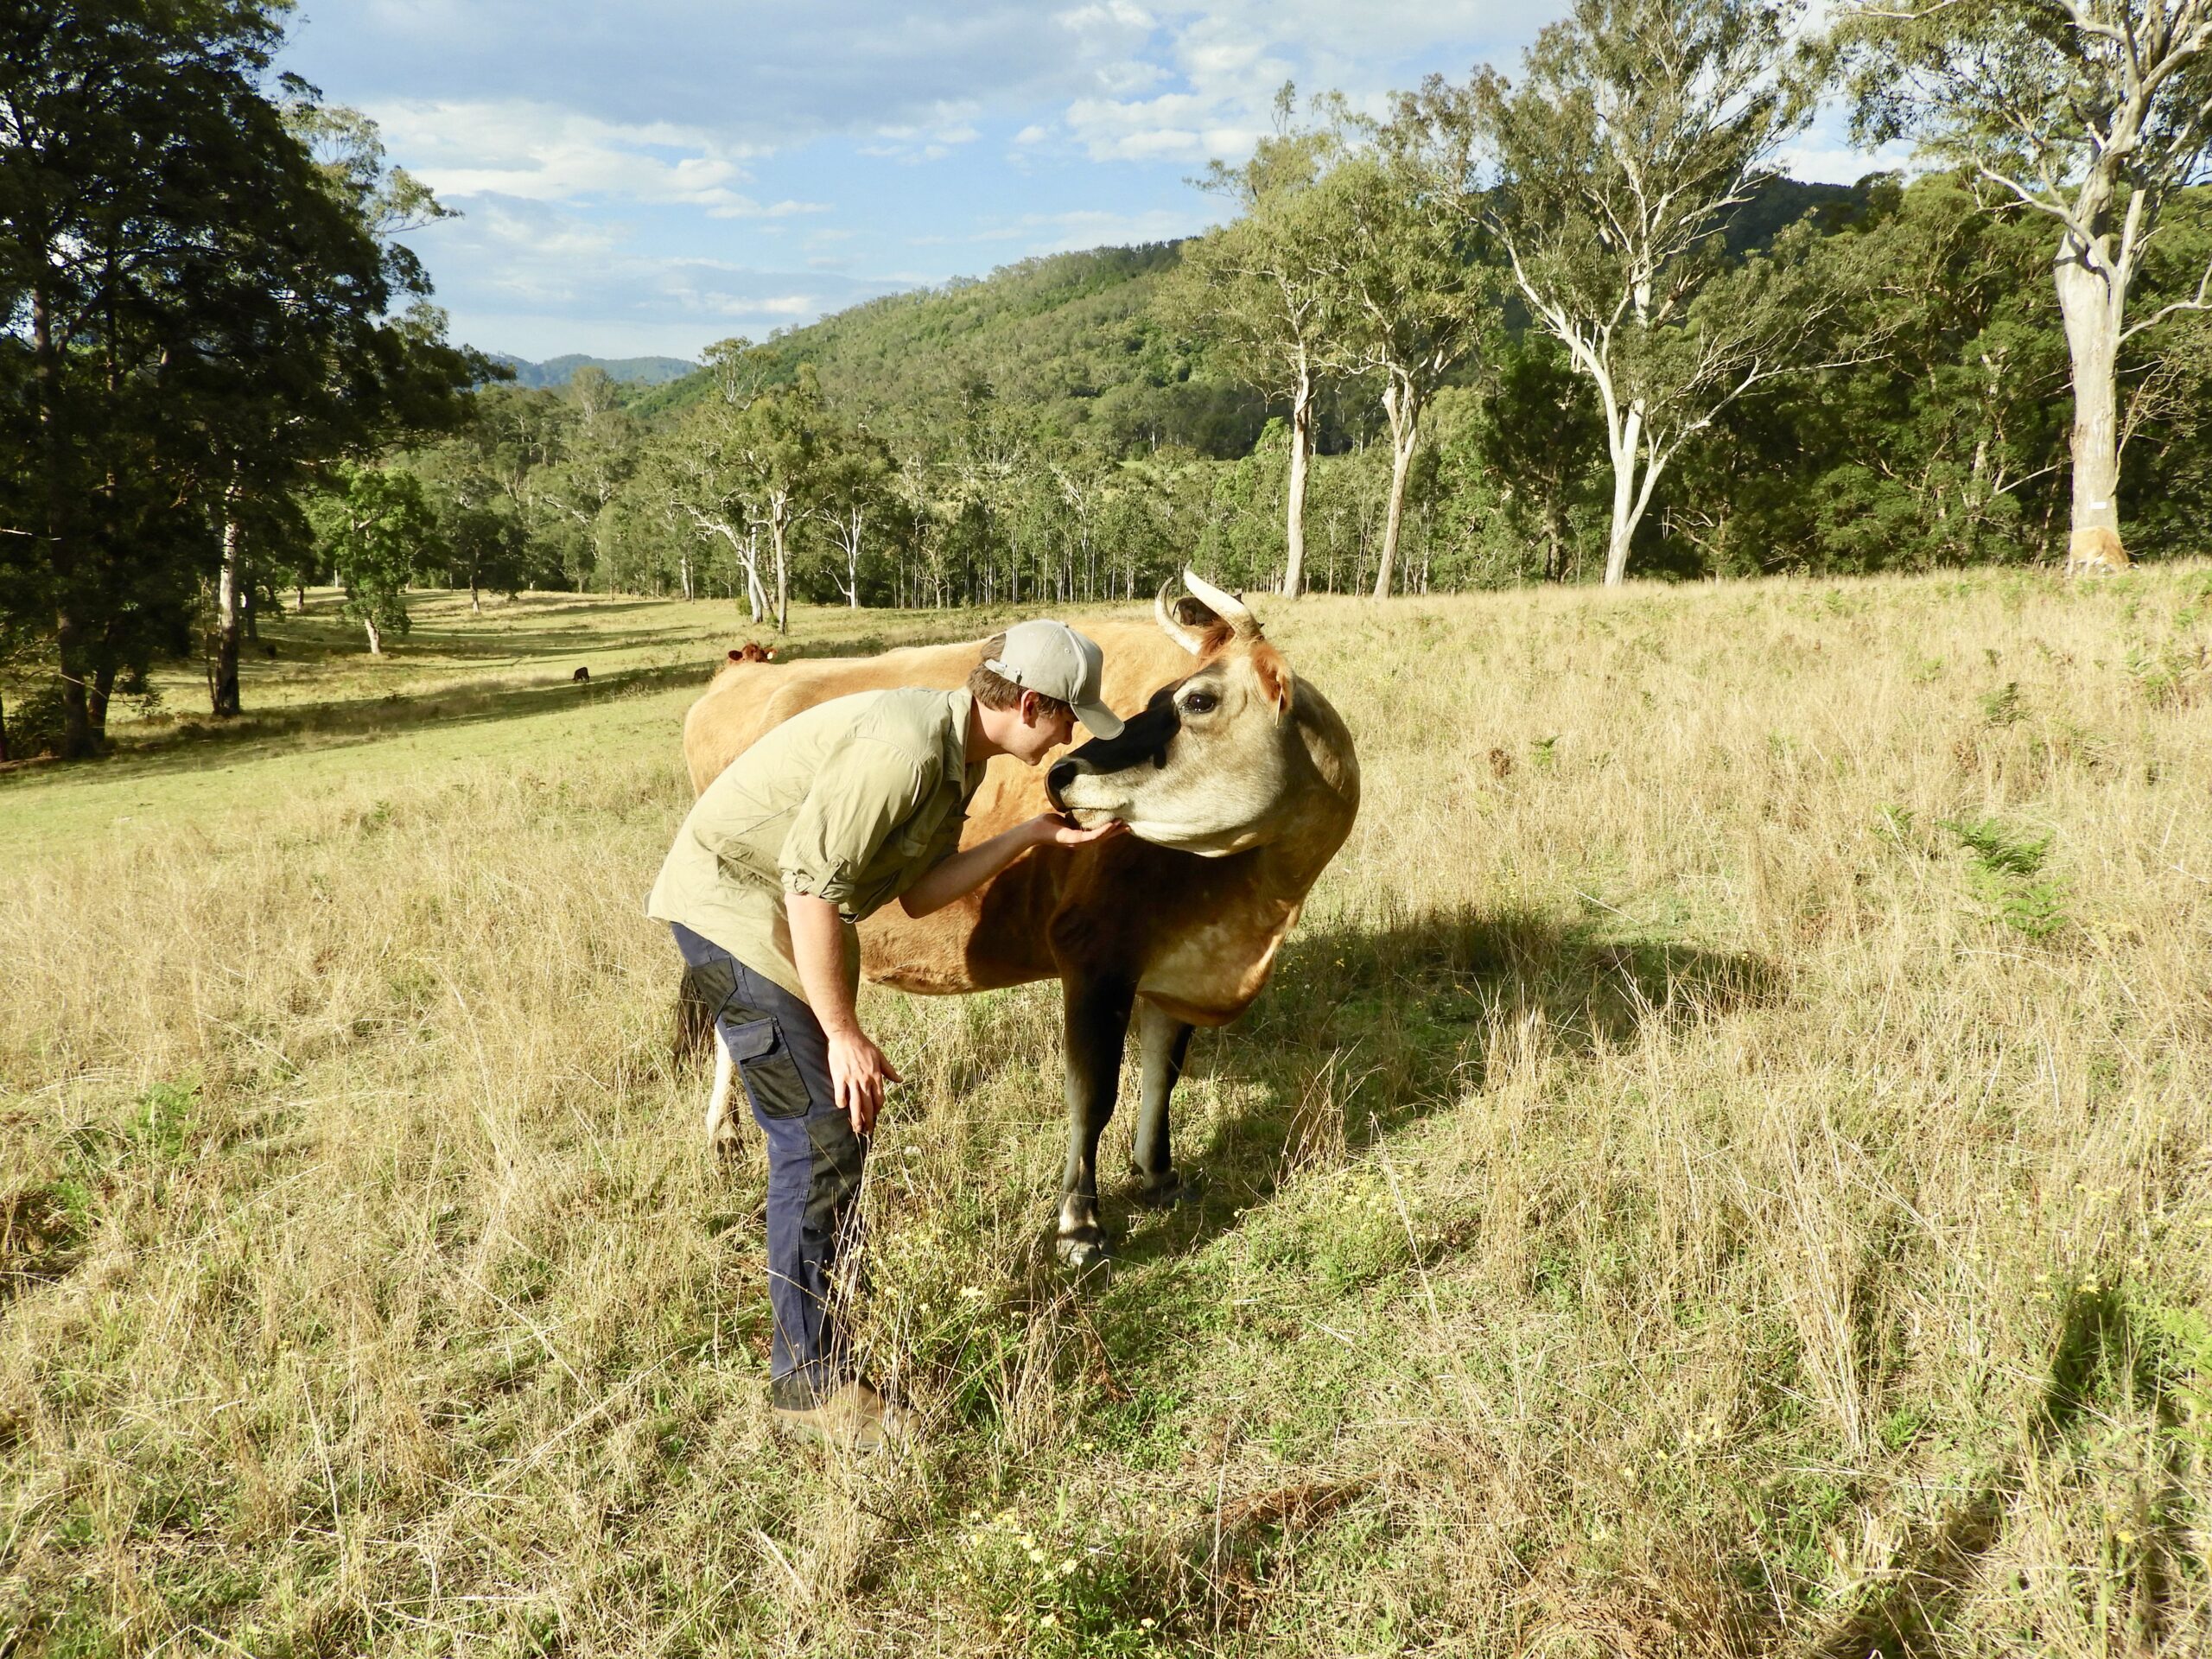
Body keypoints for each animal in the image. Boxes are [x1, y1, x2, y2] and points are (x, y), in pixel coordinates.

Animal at [681, 570, 1353, 1274]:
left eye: (1197, 699)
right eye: (1160, 696)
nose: (1060, 771)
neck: (1254, 913)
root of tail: (739, 671)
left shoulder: (1176, 970)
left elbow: (1162, 1075)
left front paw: (1160, 1175)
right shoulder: (1093, 954)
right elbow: (1095, 1095)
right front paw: (1080, 1226)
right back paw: (723, 1130)